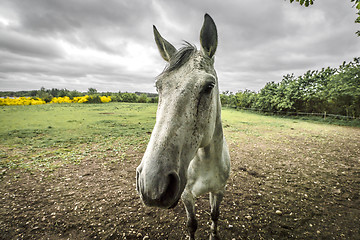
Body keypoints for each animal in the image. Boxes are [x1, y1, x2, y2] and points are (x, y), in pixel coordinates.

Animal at [135, 14, 231, 239]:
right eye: (158, 86)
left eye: (209, 86)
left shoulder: (219, 191)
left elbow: (214, 215)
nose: (153, 184)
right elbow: (192, 224)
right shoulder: (187, 196)